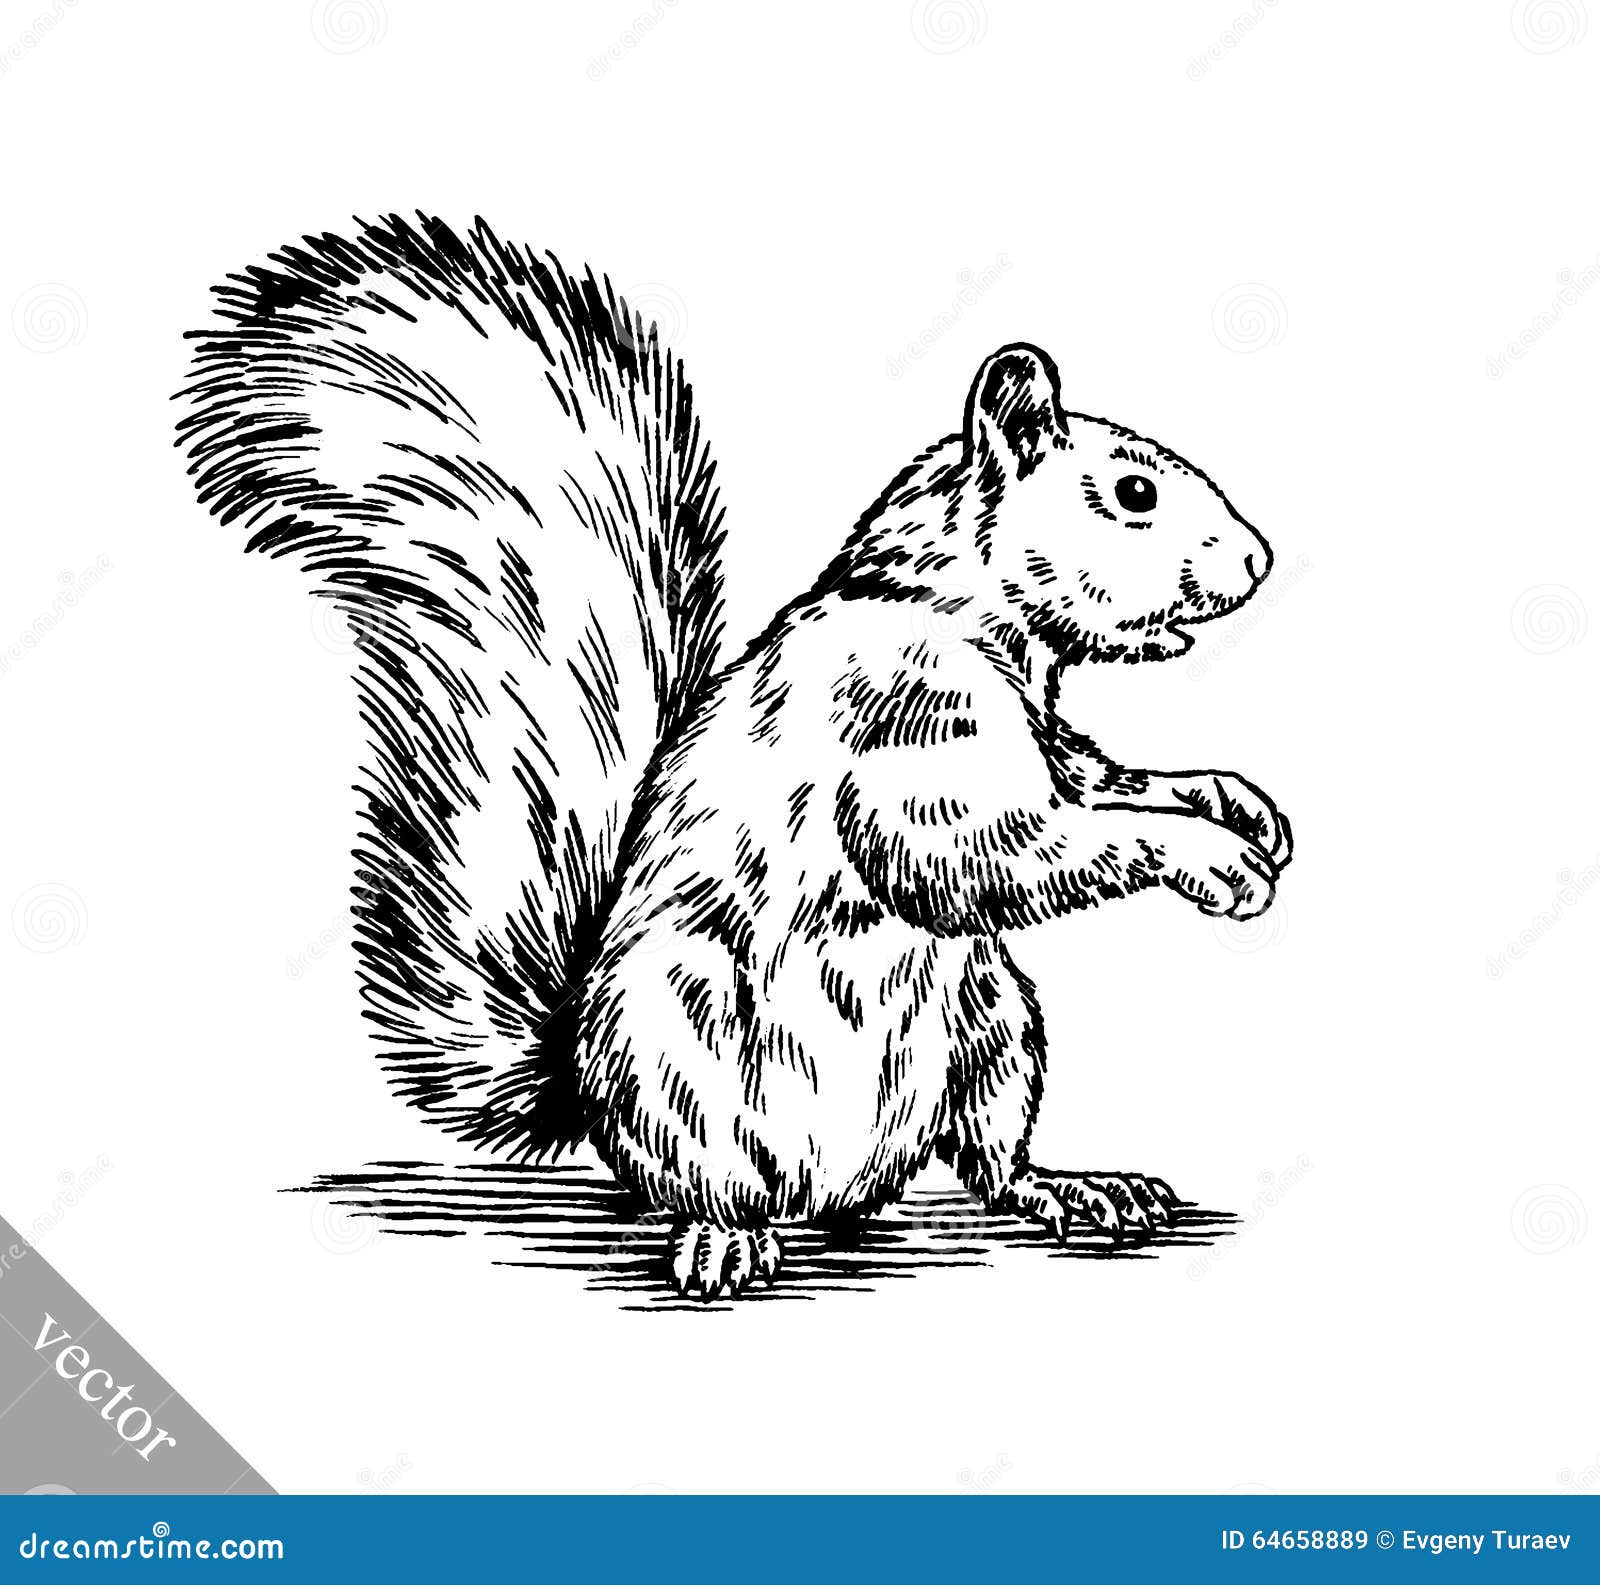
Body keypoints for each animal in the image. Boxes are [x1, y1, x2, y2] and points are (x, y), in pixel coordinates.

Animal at [176, 213, 1290, 1299]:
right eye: (1134, 492)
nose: (1258, 559)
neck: (950, 607)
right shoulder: (900, 726)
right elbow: (991, 849)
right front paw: (1210, 858)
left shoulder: (1048, 741)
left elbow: (1100, 779)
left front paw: (1235, 804)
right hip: (677, 1062)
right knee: (708, 1182)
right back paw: (724, 1238)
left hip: (996, 1028)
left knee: (987, 1157)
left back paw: (1072, 1187)